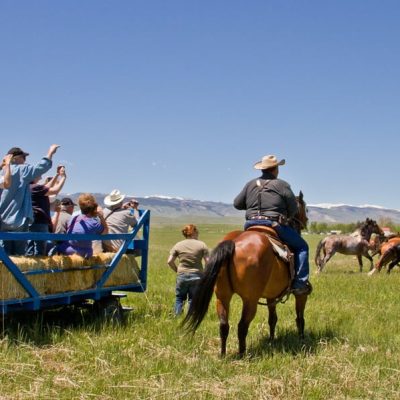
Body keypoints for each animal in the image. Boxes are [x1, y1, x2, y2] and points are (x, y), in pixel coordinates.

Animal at [183, 192, 310, 358]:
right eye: (305, 208)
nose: (306, 221)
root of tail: (233, 242)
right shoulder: (301, 294)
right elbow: (300, 317)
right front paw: (301, 339)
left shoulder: (271, 296)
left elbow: (272, 319)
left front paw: (272, 340)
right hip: (250, 300)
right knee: (242, 326)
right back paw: (242, 354)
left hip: (222, 296)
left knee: (224, 325)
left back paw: (223, 354)